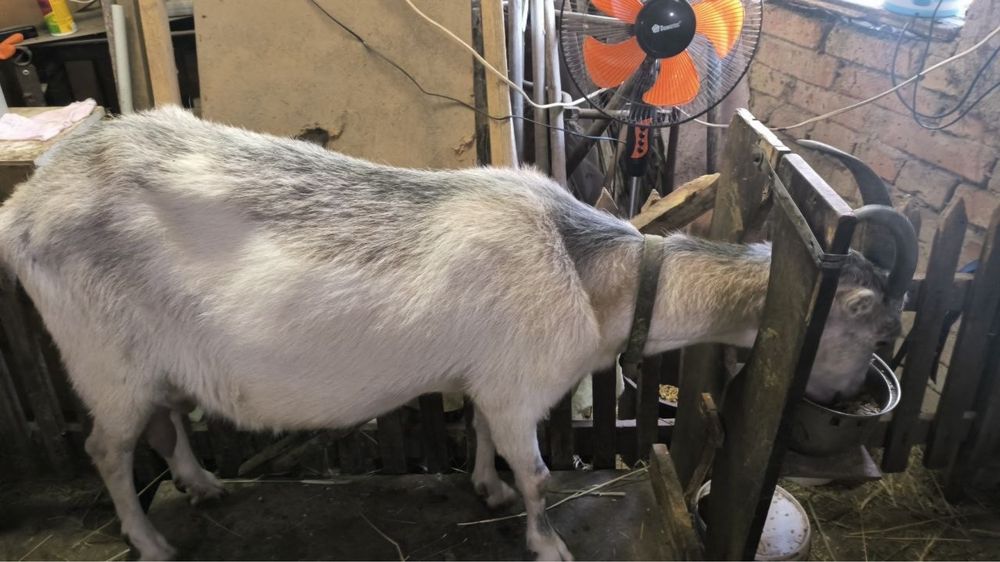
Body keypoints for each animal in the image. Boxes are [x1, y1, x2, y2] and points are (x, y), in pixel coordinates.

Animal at [0, 107, 909, 561]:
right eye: (870, 323)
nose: (847, 395)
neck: (594, 272)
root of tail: (28, 202)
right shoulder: (517, 389)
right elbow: (539, 473)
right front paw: (547, 544)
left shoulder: (486, 379)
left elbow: (477, 434)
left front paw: (486, 490)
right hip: (102, 360)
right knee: (108, 449)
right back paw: (151, 541)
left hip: (148, 361)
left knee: (165, 422)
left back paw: (203, 485)